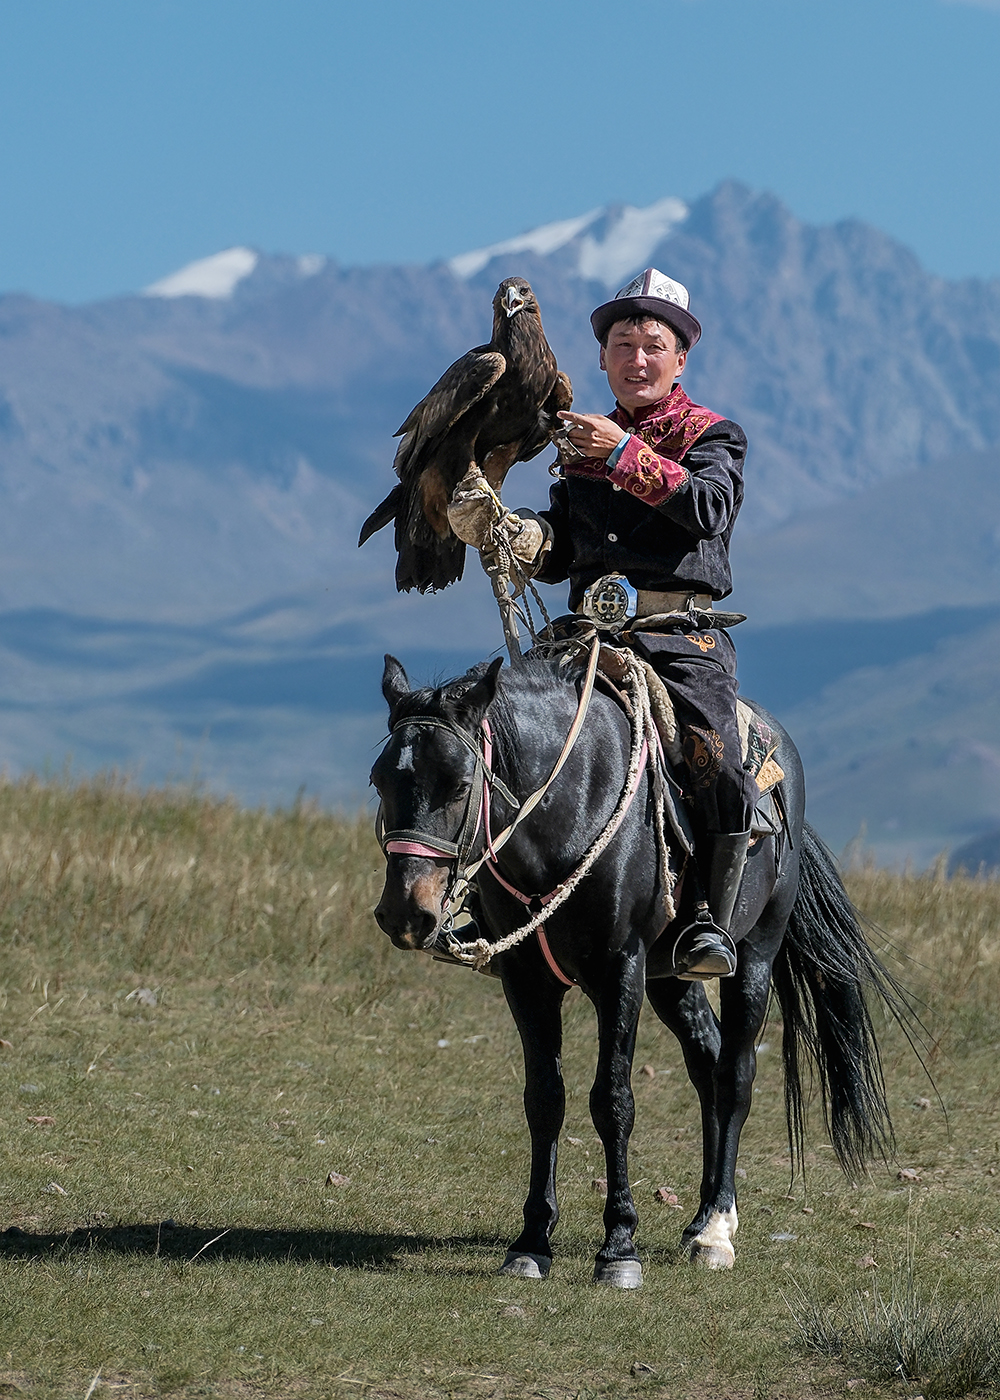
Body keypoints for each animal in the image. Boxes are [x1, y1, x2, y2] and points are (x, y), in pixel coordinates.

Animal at [369, 649, 901, 1282]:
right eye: (379, 781)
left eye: (458, 785)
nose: (405, 912)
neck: (568, 809)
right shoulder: (528, 978)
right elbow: (544, 1098)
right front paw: (531, 1241)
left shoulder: (619, 968)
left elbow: (613, 1100)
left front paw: (619, 1246)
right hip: (670, 978)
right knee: (707, 1061)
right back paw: (699, 1217)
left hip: (754, 953)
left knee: (736, 1073)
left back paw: (716, 1230)